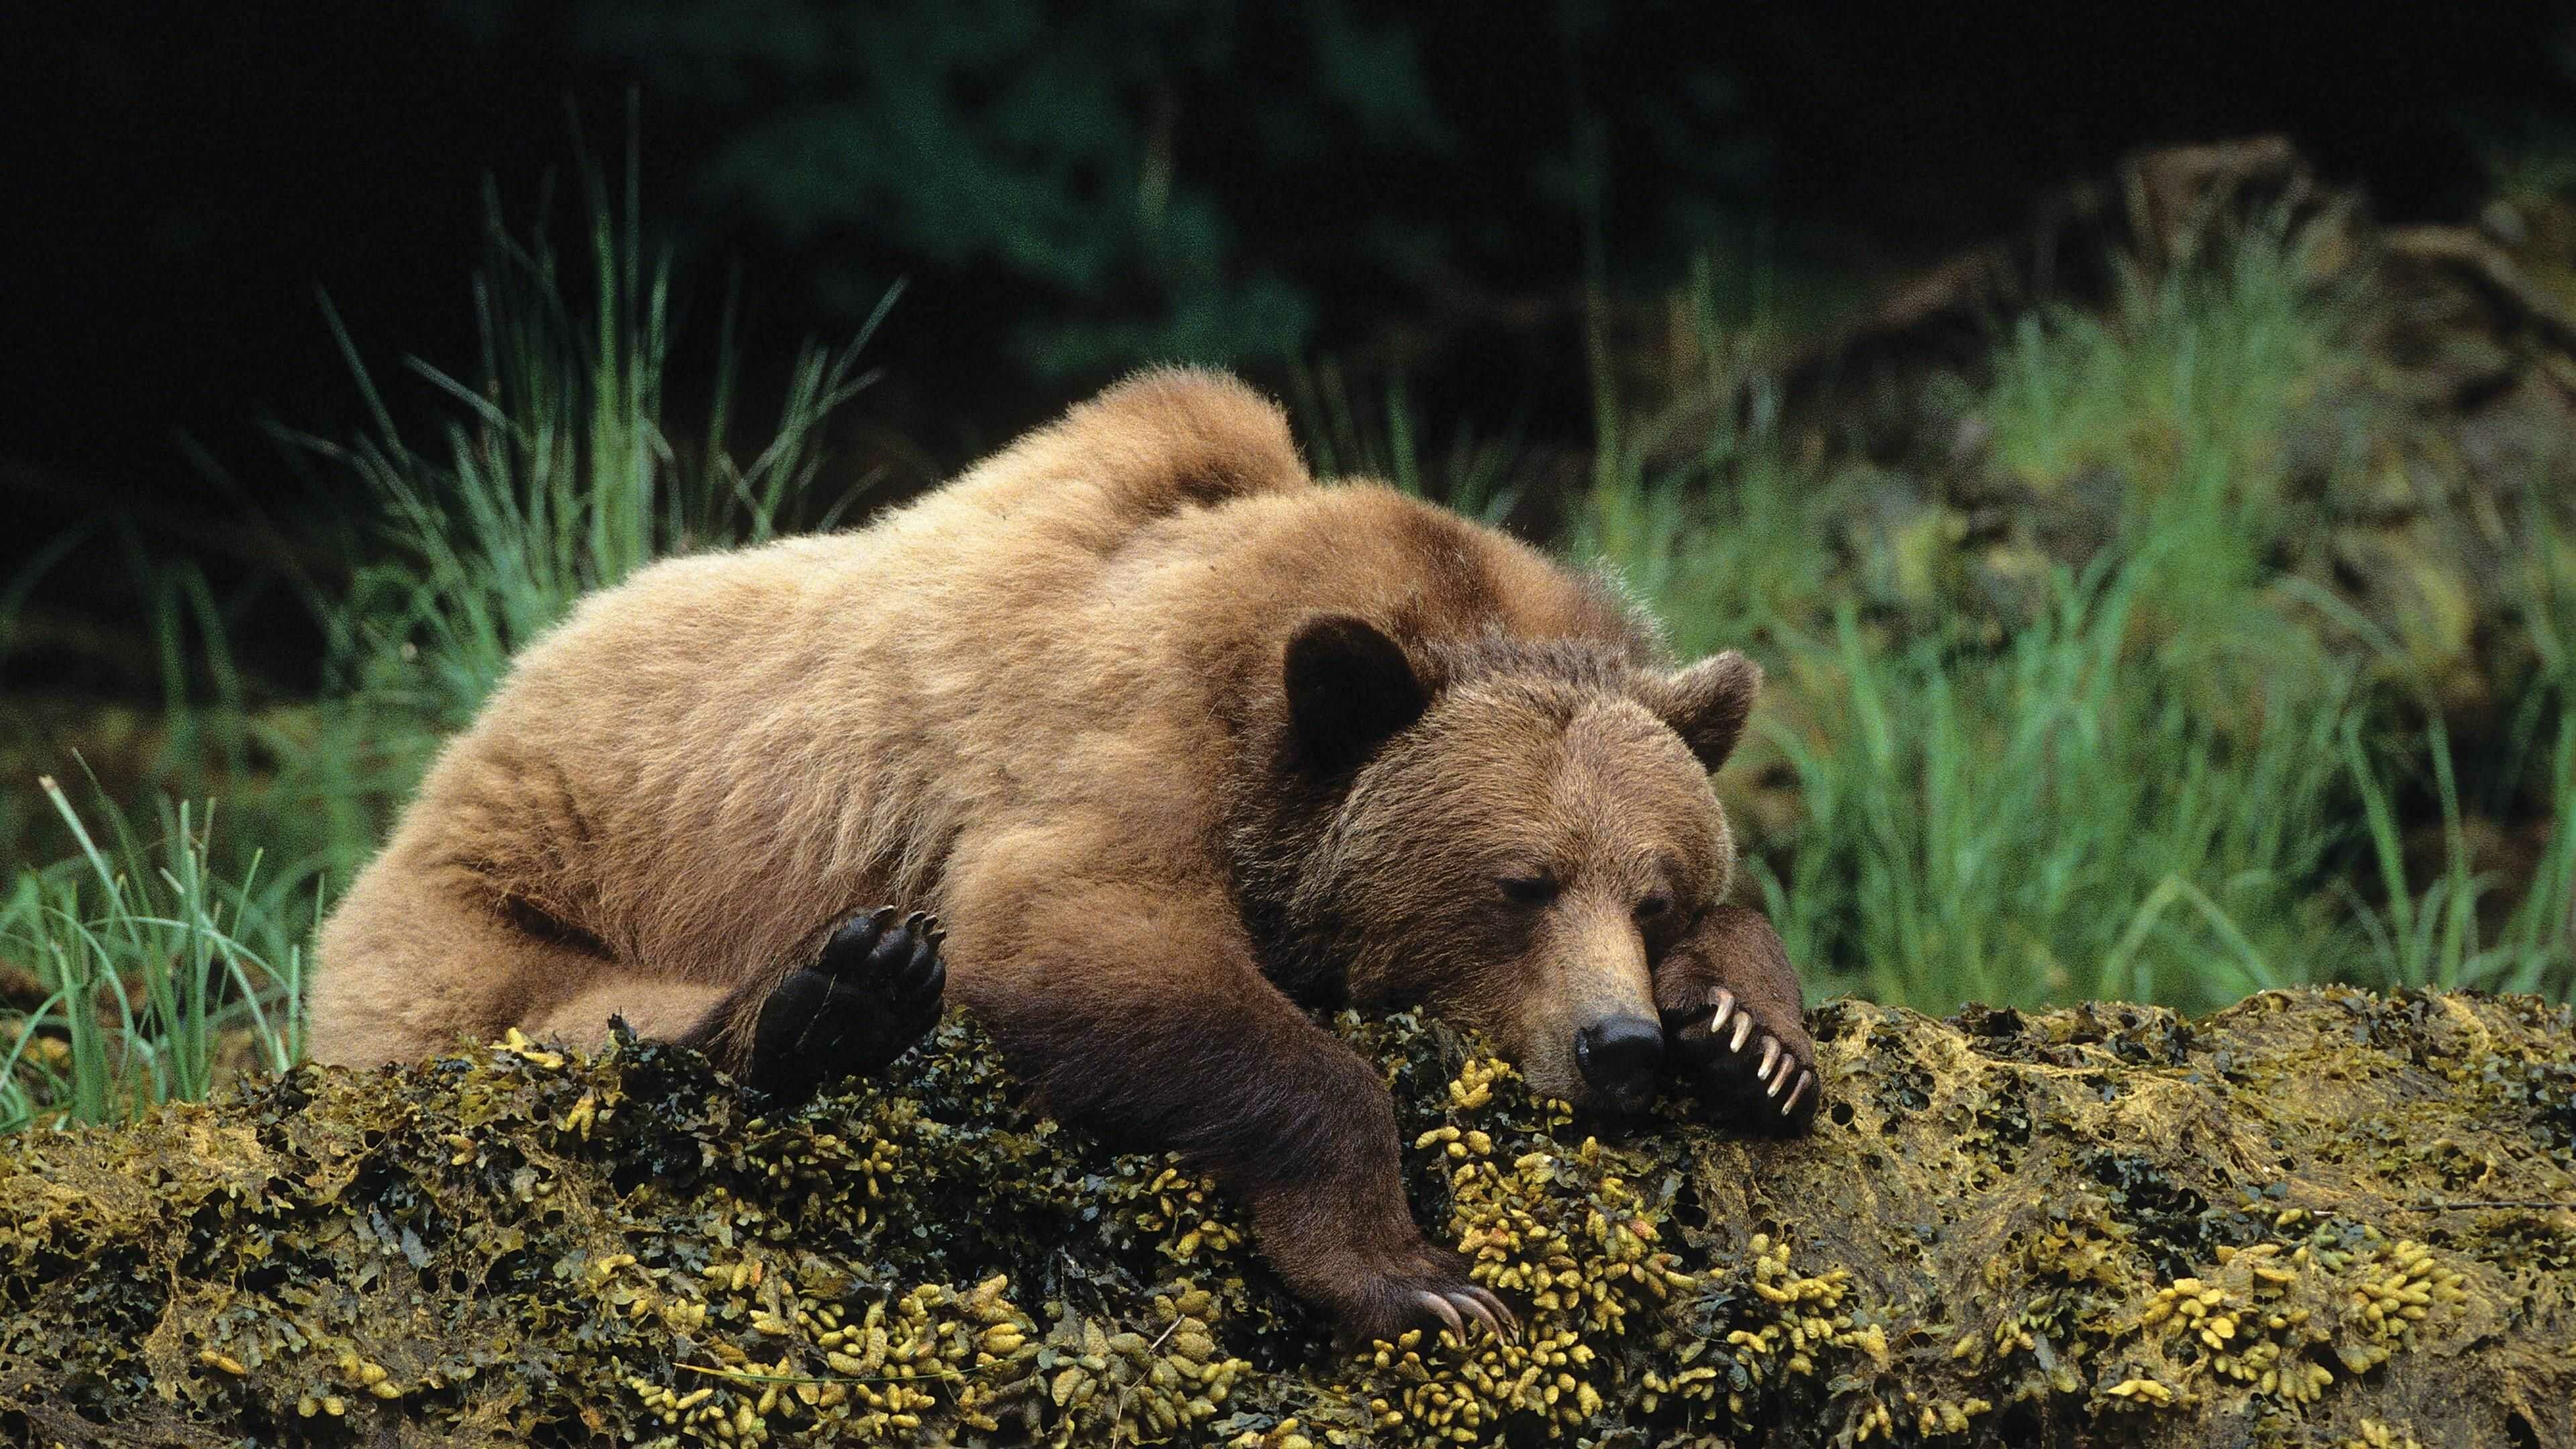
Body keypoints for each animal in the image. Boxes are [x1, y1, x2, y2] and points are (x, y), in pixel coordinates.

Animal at [307, 367, 1821, 1342]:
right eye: (1519, 886)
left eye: (1655, 891)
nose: (1619, 1047)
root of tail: (477, 721)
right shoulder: (1128, 745)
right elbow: (1076, 938)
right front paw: (1420, 1275)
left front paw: (1752, 1039)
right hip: (479, 911)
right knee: (577, 1022)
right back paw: (836, 994)